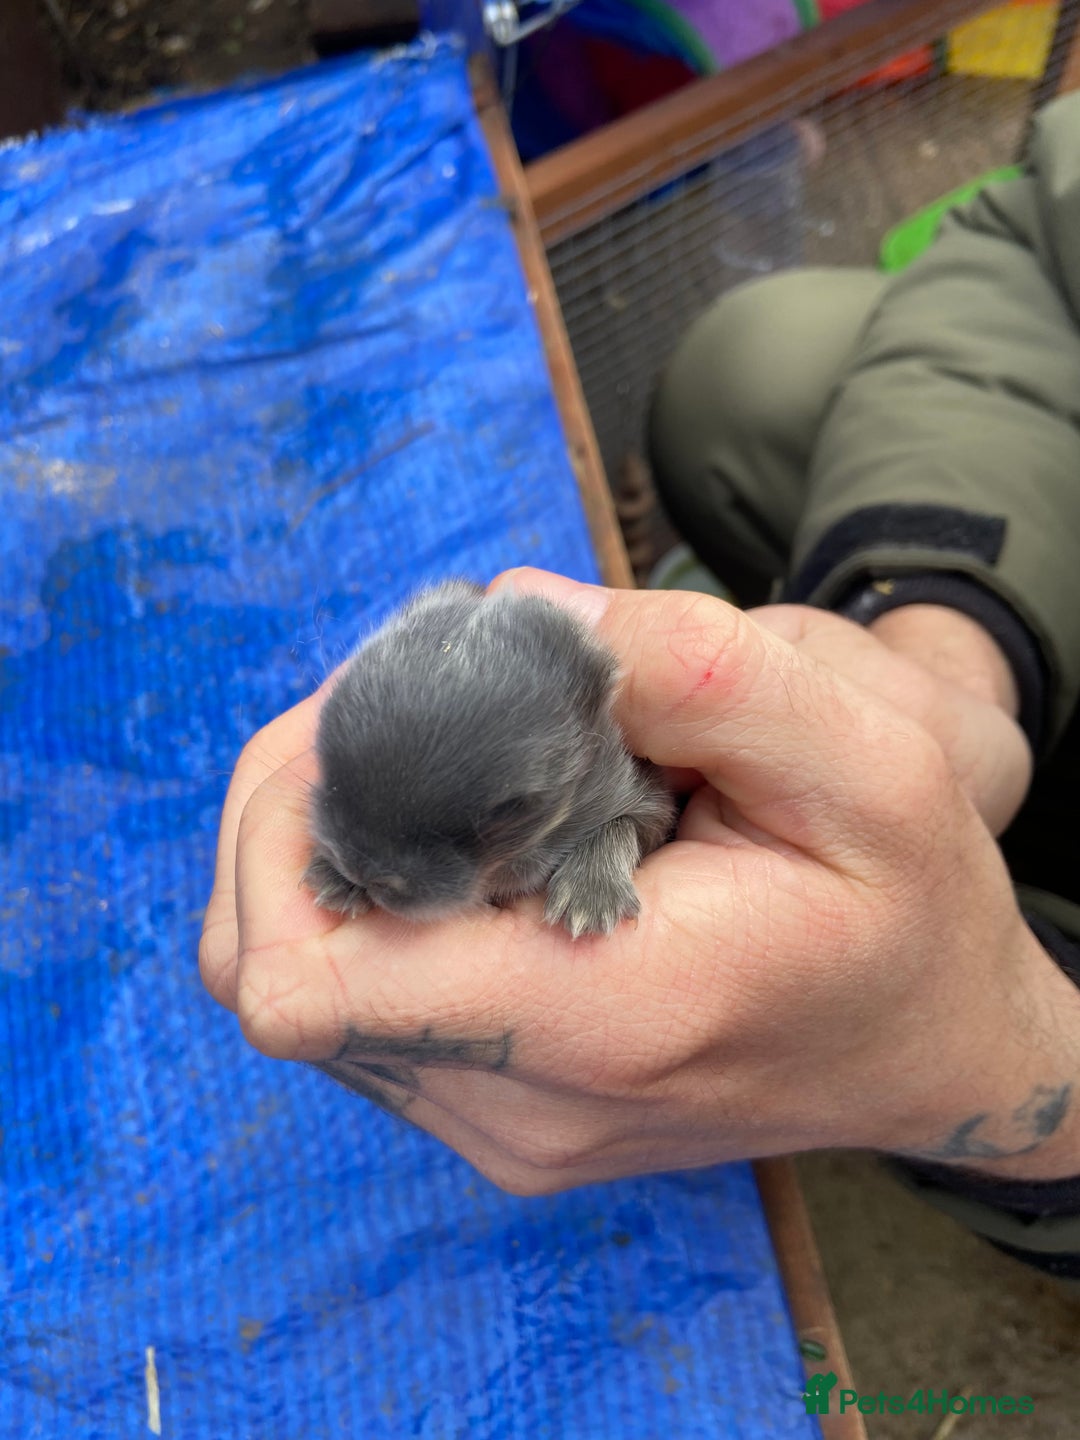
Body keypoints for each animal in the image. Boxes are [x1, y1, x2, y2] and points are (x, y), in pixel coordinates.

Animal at [303, 579, 674, 938]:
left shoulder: (647, 800)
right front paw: (334, 878)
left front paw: (590, 897)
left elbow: (622, 824)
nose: (361, 871)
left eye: (513, 810)